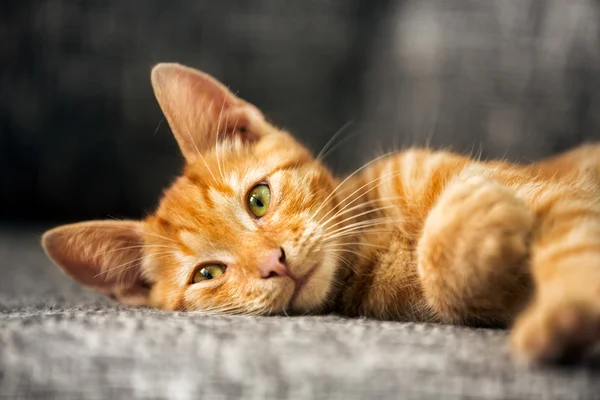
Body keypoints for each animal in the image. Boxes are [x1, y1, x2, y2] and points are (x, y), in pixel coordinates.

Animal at [42, 62, 600, 366]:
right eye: (207, 273)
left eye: (258, 199)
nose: (275, 261)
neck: (373, 242)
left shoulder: (558, 196)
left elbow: (573, 244)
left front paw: (563, 306)